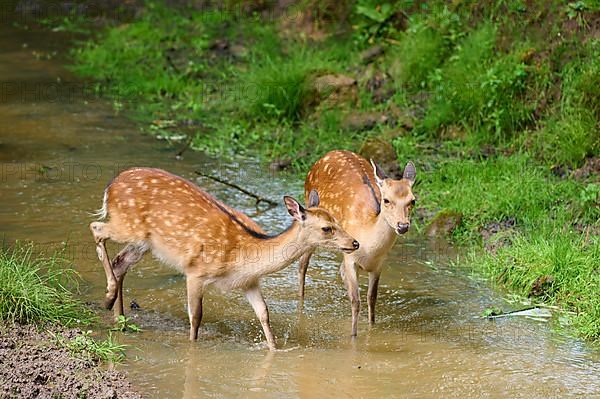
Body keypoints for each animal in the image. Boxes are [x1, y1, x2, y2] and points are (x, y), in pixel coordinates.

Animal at [91, 167, 358, 352]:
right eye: (326, 228)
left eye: (336, 220)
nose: (355, 243)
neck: (244, 255)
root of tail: (109, 188)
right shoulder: (195, 271)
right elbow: (196, 316)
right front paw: (192, 347)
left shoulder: (249, 281)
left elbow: (264, 313)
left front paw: (275, 350)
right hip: (127, 225)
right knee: (96, 228)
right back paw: (109, 296)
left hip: (143, 242)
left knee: (120, 262)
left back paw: (119, 318)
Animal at [298, 150, 414, 338]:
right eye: (386, 200)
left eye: (413, 200)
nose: (403, 226)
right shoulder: (351, 258)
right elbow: (356, 300)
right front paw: (353, 336)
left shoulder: (379, 265)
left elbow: (371, 298)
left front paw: (372, 328)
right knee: (302, 264)